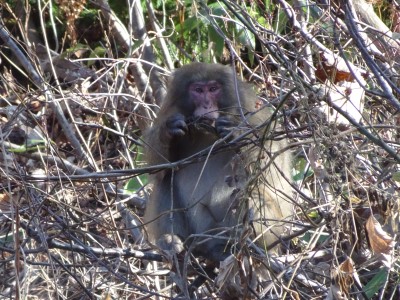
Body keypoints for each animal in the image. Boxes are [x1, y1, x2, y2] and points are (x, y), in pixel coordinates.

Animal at [143, 62, 290, 262]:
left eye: (213, 89)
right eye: (198, 90)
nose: (207, 105)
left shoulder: (257, 117)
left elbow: (272, 166)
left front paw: (235, 131)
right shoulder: (170, 111)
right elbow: (158, 169)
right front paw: (168, 131)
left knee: (250, 193)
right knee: (166, 180)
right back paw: (172, 241)